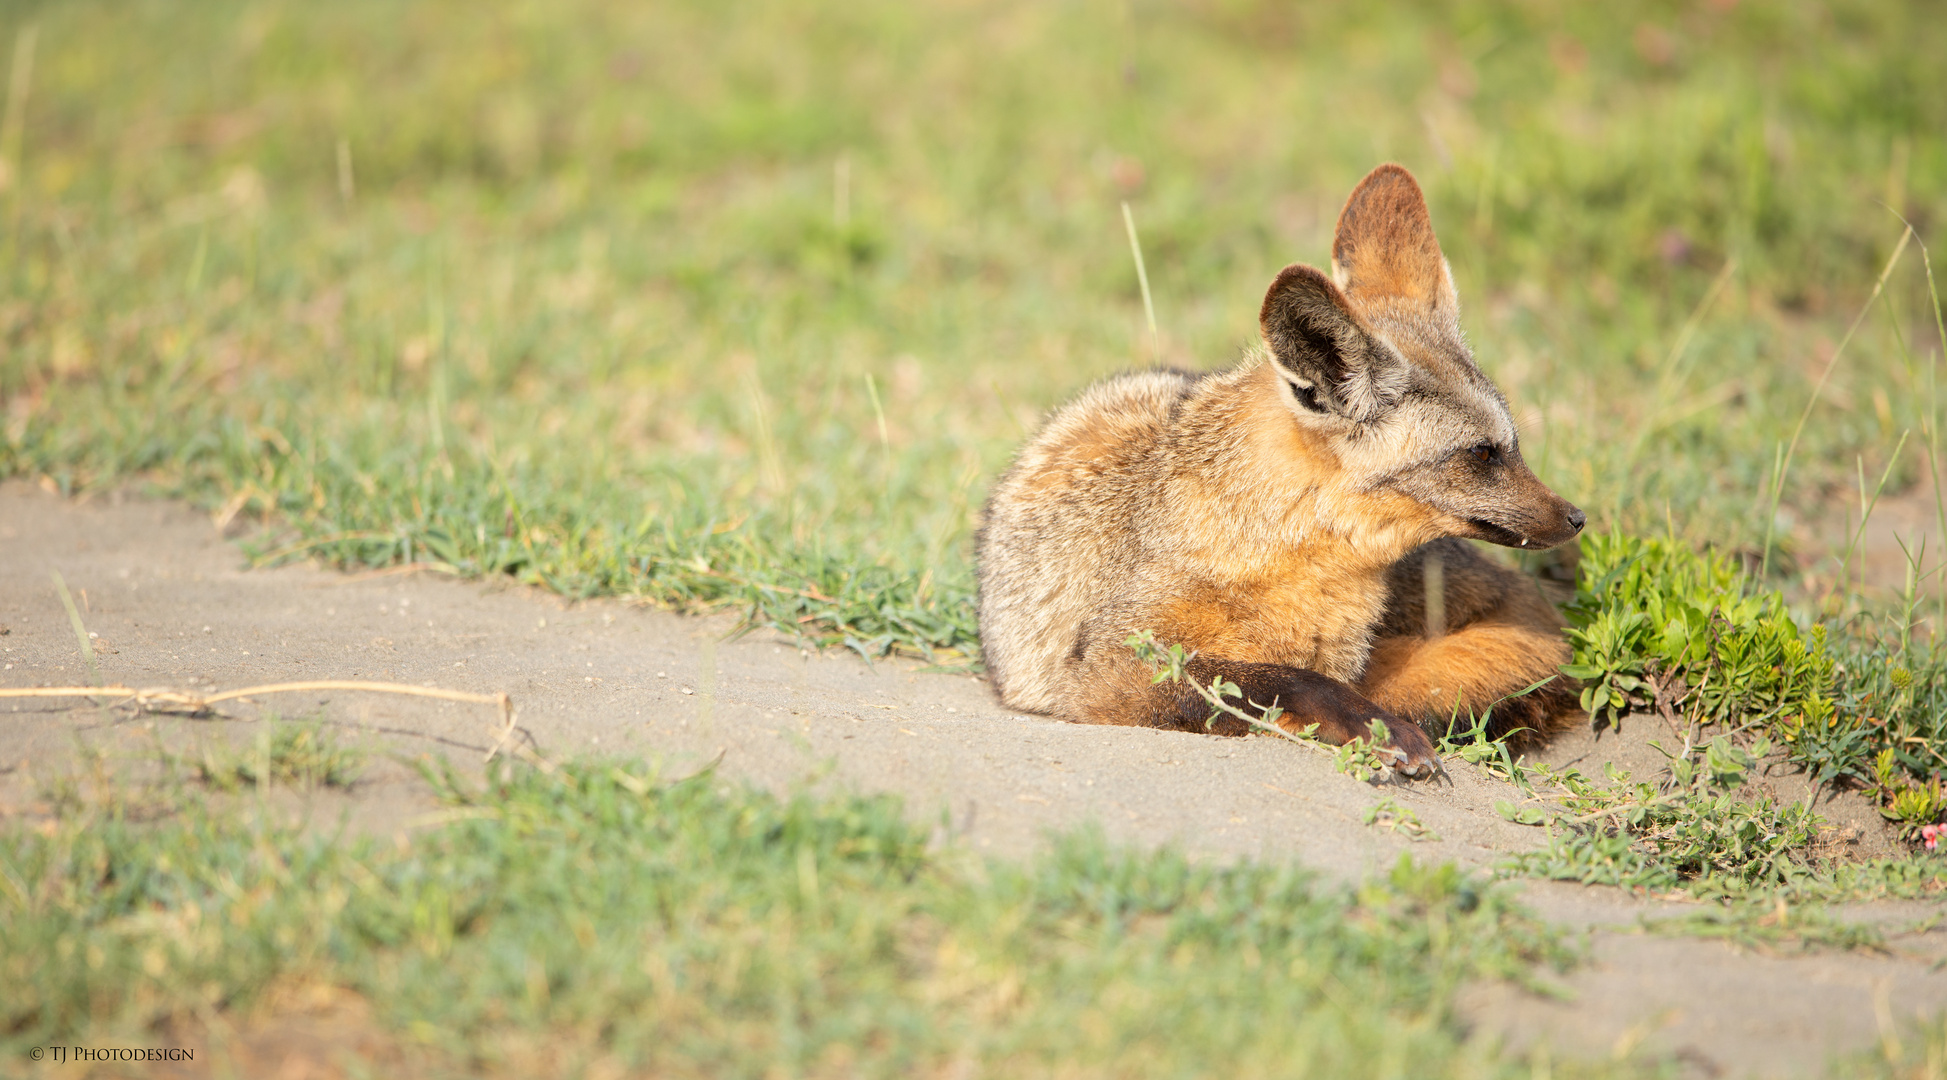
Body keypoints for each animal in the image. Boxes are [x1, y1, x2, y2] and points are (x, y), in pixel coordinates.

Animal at [981, 162, 1588, 778]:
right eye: (1484, 454)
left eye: (1512, 447)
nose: (1577, 519)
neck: (1274, 546)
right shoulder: (1106, 668)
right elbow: (1271, 679)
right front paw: (1366, 722)